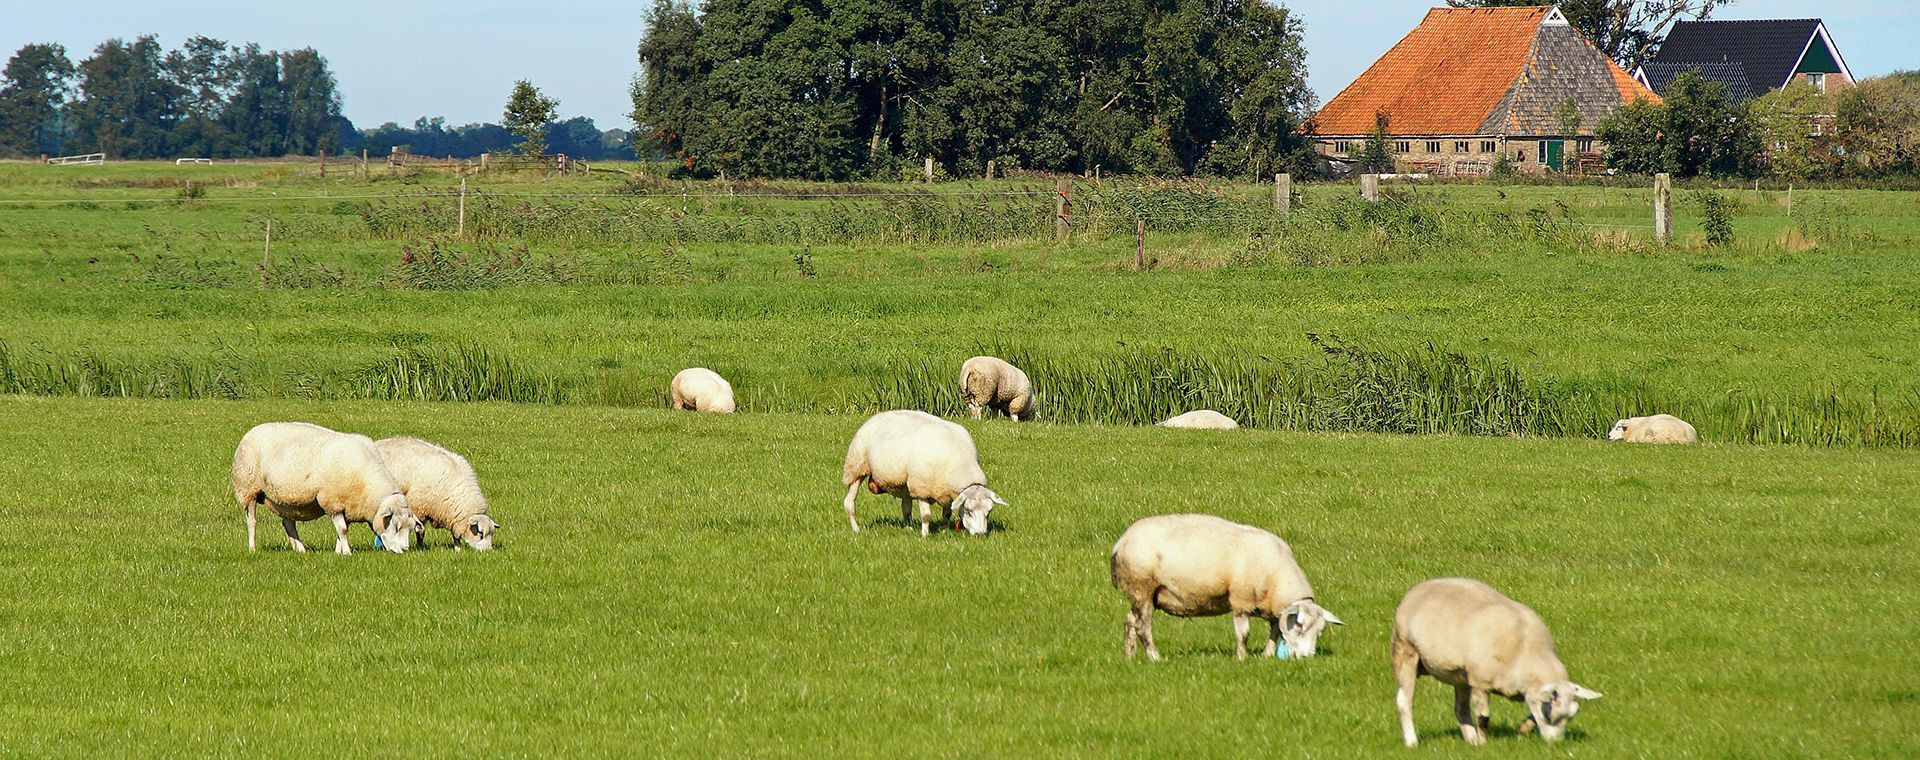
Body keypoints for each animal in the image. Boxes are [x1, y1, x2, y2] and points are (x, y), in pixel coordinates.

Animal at [230, 421, 419, 555]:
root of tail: (251, 431)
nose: (404, 551)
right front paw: (347, 552)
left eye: (410, 528)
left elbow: (341, 530)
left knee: (288, 523)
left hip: (285, 500)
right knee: (252, 521)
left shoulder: (347, 505)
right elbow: (342, 529)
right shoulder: (333, 501)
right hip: (248, 489)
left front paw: (338, 552)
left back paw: (300, 549)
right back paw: (253, 548)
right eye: (396, 526)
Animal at [841, 409, 1006, 536]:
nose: (980, 534)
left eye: (989, 512)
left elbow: (947, 514)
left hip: (905, 482)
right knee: (849, 501)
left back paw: (908, 528)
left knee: (906, 507)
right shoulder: (922, 488)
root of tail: (879, 414)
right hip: (856, 466)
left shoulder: (945, 489)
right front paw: (925, 535)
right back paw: (856, 529)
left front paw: (944, 531)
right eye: (969, 511)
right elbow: (926, 515)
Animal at [1109, 514, 1343, 661]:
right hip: (1142, 587)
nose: (1306, 657)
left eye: (1320, 631)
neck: (1278, 578)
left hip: (1140, 593)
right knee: (1143, 627)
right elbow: (1244, 633)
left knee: (1130, 621)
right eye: (1300, 625)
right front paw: (1241, 657)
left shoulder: (1272, 607)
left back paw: (1129, 657)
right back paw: (1155, 657)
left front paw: (1266, 655)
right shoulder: (1241, 599)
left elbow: (1276, 630)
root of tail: (1121, 542)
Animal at [1391, 577, 1603, 747]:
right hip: (1405, 650)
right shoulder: (1480, 682)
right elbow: (1484, 718)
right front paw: (1484, 743)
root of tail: (1423, 585)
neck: (1526, 651)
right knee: (1404, 701)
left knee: (1461, 709)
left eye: (1572, 715)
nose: (1555, 744)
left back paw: (1470, 740)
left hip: (1461, 675)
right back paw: (1412, 742)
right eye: (1549, 715)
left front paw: (1523, 728)